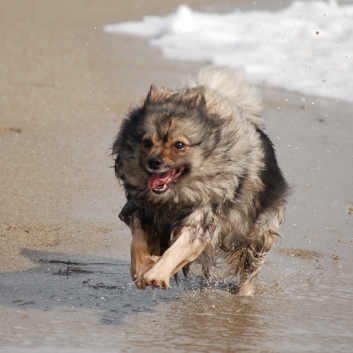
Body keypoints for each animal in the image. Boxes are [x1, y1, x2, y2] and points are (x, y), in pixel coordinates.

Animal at [113, 66, 288, 294]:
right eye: (146, 143)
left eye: (179, 145)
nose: (154, 162)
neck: (172, 199)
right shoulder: (142, 210)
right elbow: (138, 242)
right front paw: (140, 269)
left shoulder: (203, 218)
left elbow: (177, 249)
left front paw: (157, 274)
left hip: (257, 234)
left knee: (249, 269)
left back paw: (244, 293)